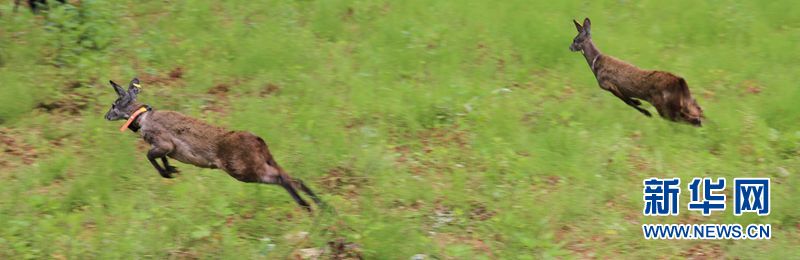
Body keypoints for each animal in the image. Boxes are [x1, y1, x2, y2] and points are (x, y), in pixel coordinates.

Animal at [104, 78, 324, 212]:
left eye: (114, 105)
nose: (106, 116)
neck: (141, 118)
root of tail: (258, 141)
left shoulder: (164, 143)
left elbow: (150, 156)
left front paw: (167, 173)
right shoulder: (165, 148)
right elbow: (160, 157)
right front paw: (172, 170)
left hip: (242, 169)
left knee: (282, 179)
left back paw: (306, 206)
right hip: (264, 161)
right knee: (295, 178)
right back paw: (322, 207)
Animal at [568, 17, 708, 127]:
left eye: (575, 40)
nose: (570, 47)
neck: (595, 62)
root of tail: (680, 81)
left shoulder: (608, 85)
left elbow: (628, 101)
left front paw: (646, 112)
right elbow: (629, 100)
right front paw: (640, 105)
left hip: (665, 105)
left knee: (689, 119)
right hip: (683, 101)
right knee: (697, 110)